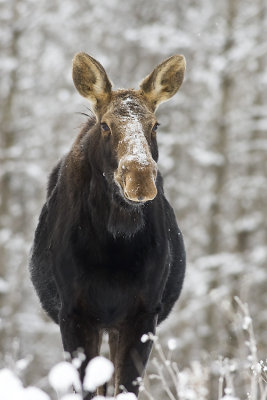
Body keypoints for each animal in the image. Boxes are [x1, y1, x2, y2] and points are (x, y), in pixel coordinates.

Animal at [29, 52, 186, 396]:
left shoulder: (143, 313)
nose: (139, 179)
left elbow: (125, 388)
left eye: (155, 125)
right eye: (105, 125)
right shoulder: (74, 312)